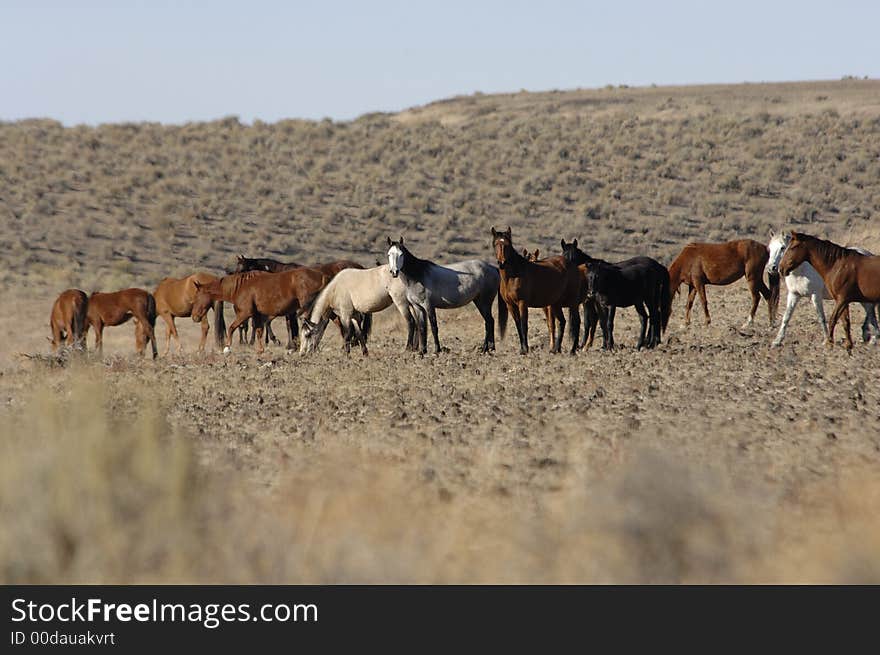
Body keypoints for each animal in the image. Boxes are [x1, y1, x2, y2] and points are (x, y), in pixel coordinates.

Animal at [192, 268, 330, 354]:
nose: (195, 317)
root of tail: (322, 276)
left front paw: (227, 348)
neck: (241, 286)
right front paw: (260, 349)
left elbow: (232, 327)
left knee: (315, 326)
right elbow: (258, 331)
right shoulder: (257, 315)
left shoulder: (245, 313)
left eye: (197, 297)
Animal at [488, 228, 584, 356]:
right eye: (495, 244)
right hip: (556, 304)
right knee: (562, 322)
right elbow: (518, 325)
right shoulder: (511, 305)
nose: (501, 263)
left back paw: (572, 350)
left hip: (572, 303)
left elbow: (524, 325)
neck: (513, 276)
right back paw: (555, 349)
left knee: (576, 322)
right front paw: (522, 349)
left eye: (507, 245)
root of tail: (572, 265)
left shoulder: (522, 303)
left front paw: (525, 350)